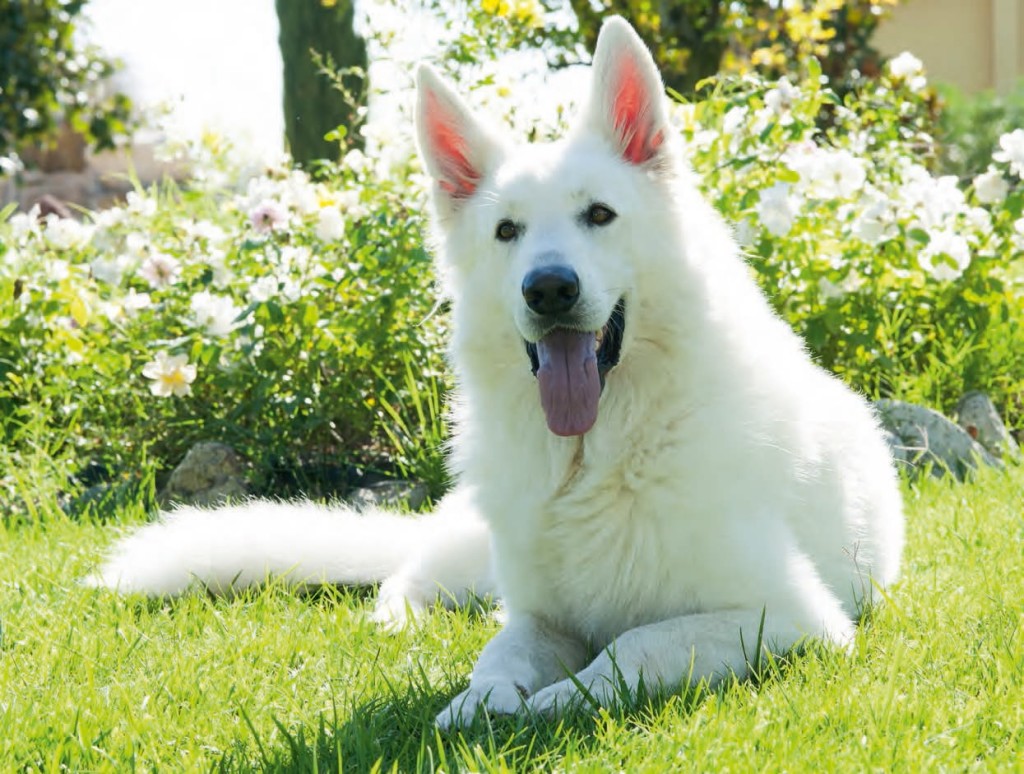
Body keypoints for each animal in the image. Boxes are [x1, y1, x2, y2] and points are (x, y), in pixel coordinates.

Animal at [90, 19, 905, 733]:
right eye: (506, 231)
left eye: (599, 215)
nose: (548, 290)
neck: (594, 459)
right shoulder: (540, 617)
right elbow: (501, 653)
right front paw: (479, 701)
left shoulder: (787, 616)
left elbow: (634, 643)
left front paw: (558, 700)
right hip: (474, 550)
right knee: (412, 577)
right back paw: (403, 618)